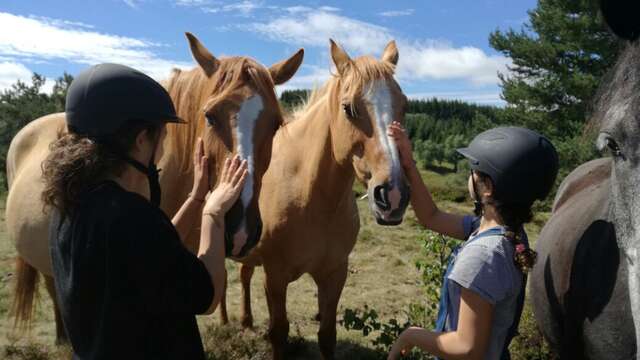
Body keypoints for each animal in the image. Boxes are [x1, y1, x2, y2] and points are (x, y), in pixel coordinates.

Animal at [220, 40, 410, 360]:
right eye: (349, 108)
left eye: (404, 105)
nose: (393, 194)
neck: (312, 197)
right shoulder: (275, 277)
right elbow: (279, 332)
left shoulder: (334, 274)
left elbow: (327, 335)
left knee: (244, 275)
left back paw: (246, 321)